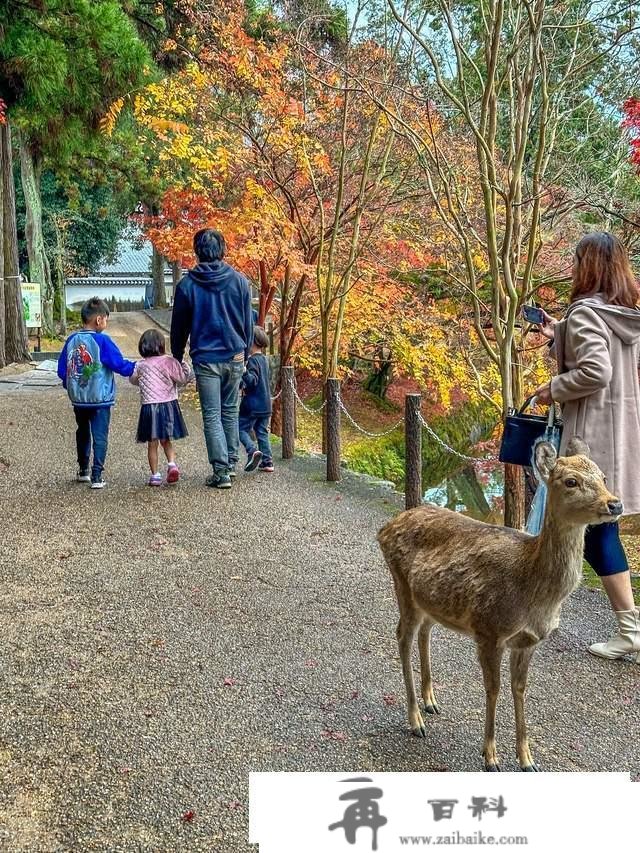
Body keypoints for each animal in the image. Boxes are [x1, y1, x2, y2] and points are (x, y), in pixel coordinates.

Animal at [378, 440, 624, 772]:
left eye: (603, 477)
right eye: (571, 481)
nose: (615, 504)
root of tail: (385, 528)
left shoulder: (529, 641)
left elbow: (519, 688)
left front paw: (527, 759)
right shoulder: (489, 630)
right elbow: (493, 688)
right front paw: (491, 757)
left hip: (432, 602)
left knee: (425, 631)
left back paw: (431, 702)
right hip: (401, 584)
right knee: (402, 636)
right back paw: (416, 720)